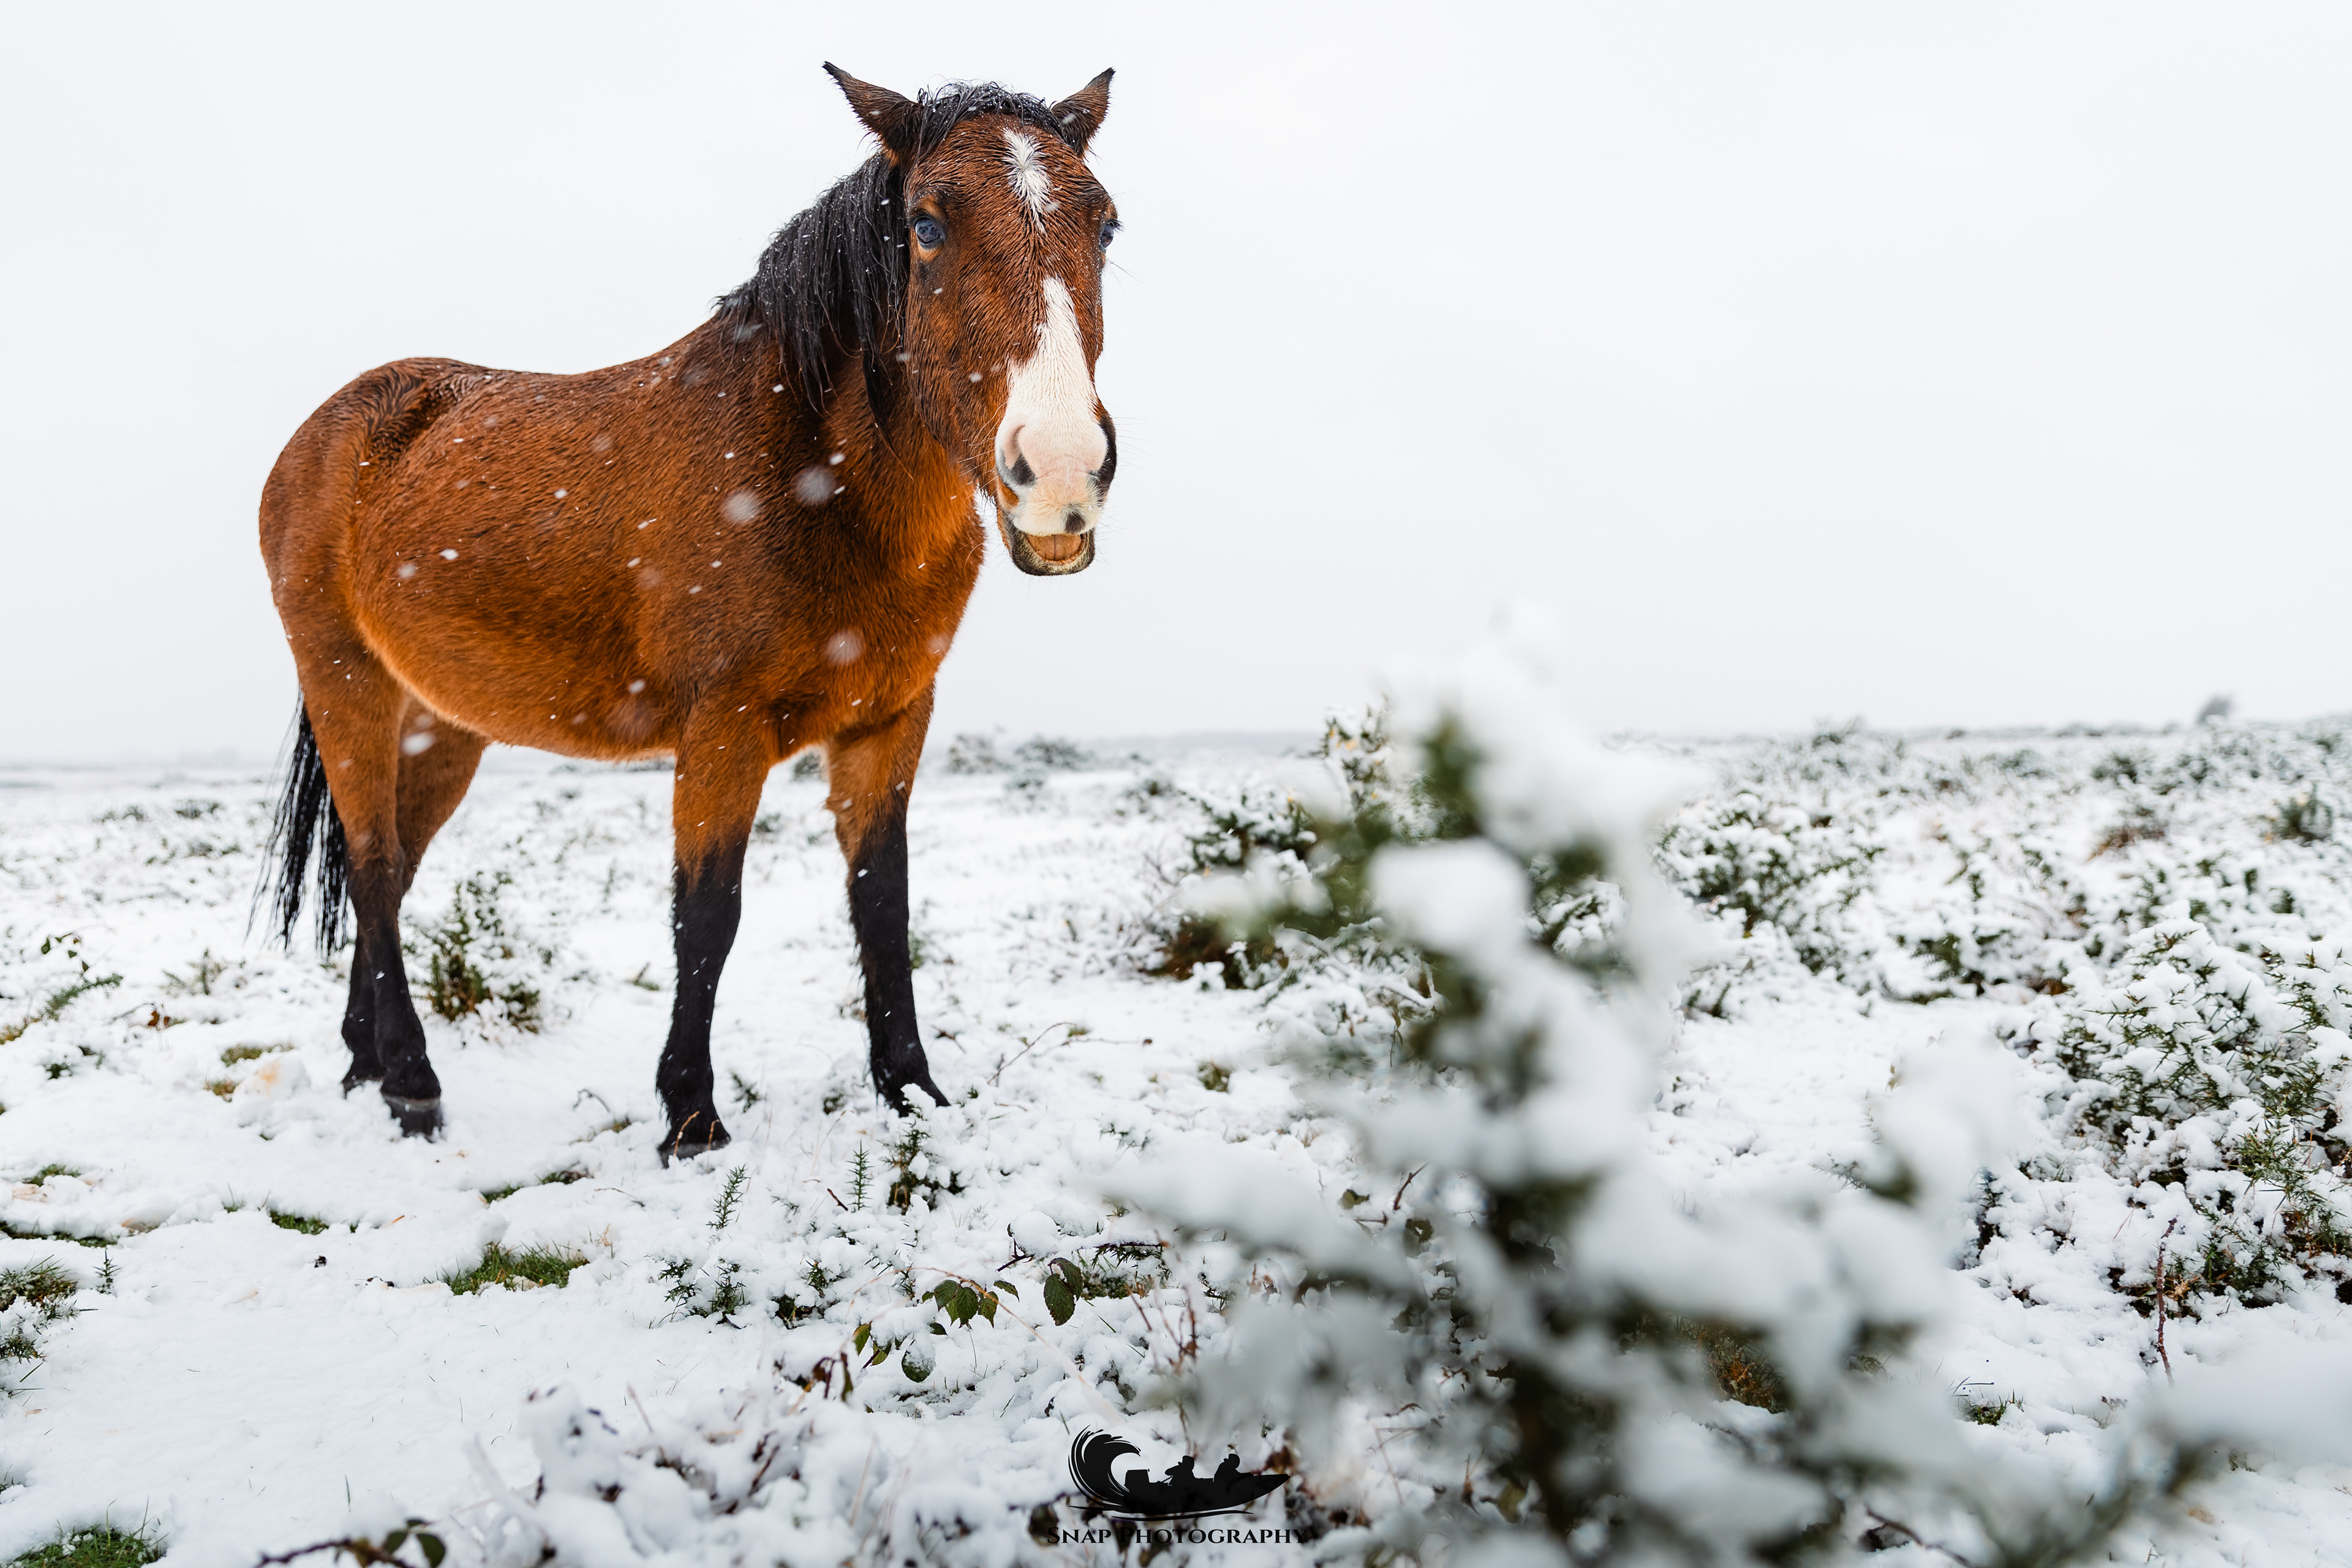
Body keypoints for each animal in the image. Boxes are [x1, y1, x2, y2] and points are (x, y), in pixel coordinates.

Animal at [254, 66, 1120, 1161]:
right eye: (926, 225)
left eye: (1106, 224)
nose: (1061, 473)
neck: (808, 480)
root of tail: (333, 424)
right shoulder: (723, 728)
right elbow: (707, 914)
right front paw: (692, 1119)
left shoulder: (889, 722)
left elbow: (882, 904)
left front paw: (912, 1092)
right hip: (349, 686)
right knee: (371, 867)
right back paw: (410, 1083)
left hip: (442, 727)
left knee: (393, 877)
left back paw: (364, 1064)